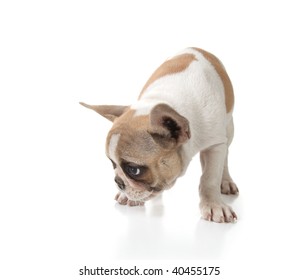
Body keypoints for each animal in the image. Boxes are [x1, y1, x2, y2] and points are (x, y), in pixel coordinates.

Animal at [80, 47, 239, 223]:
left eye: (134, 170)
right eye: (112, 164)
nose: (118, 181)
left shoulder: (215, 145)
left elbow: (210, 178)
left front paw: (213, 205)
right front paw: (128, 196)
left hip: (228, 130)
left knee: (225, 157)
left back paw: (225, 181)